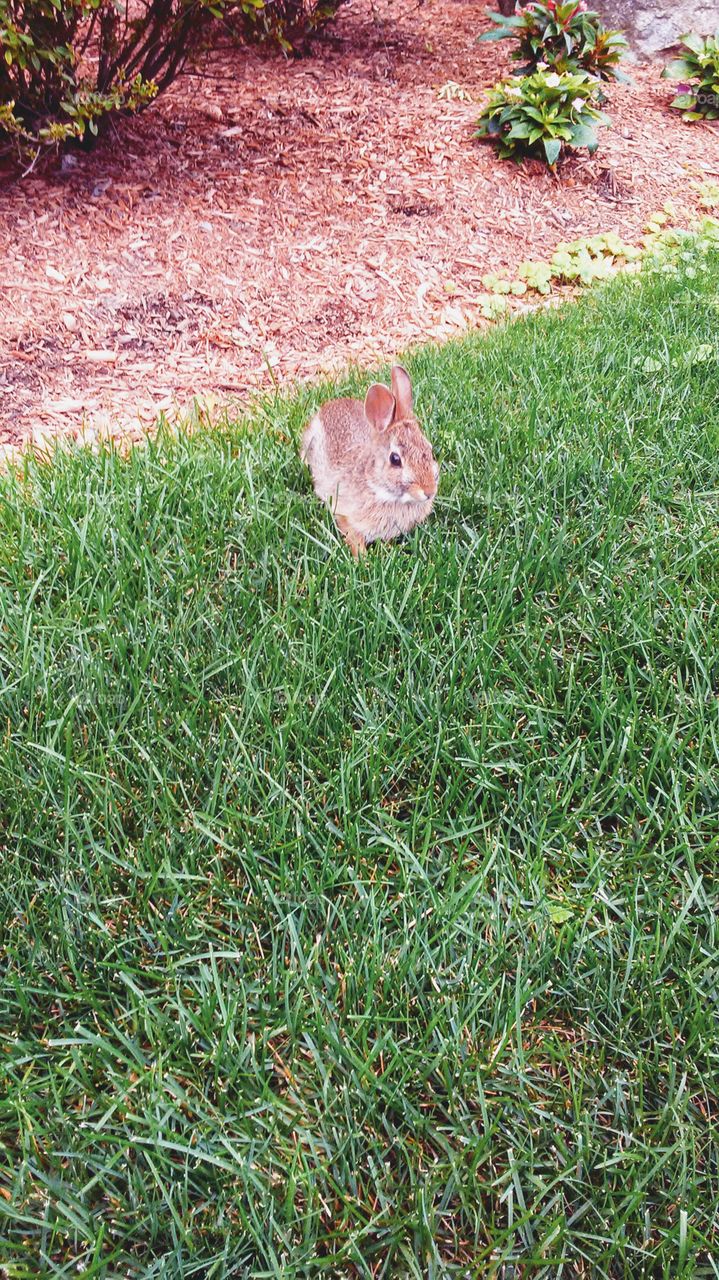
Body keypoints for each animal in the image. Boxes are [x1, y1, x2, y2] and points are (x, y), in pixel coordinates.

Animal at [301, 365, 439, 557]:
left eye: (430, 450)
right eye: (395, 459)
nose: (429, 492)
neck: (376, 486)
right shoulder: (345, 515)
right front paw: (363, 559)